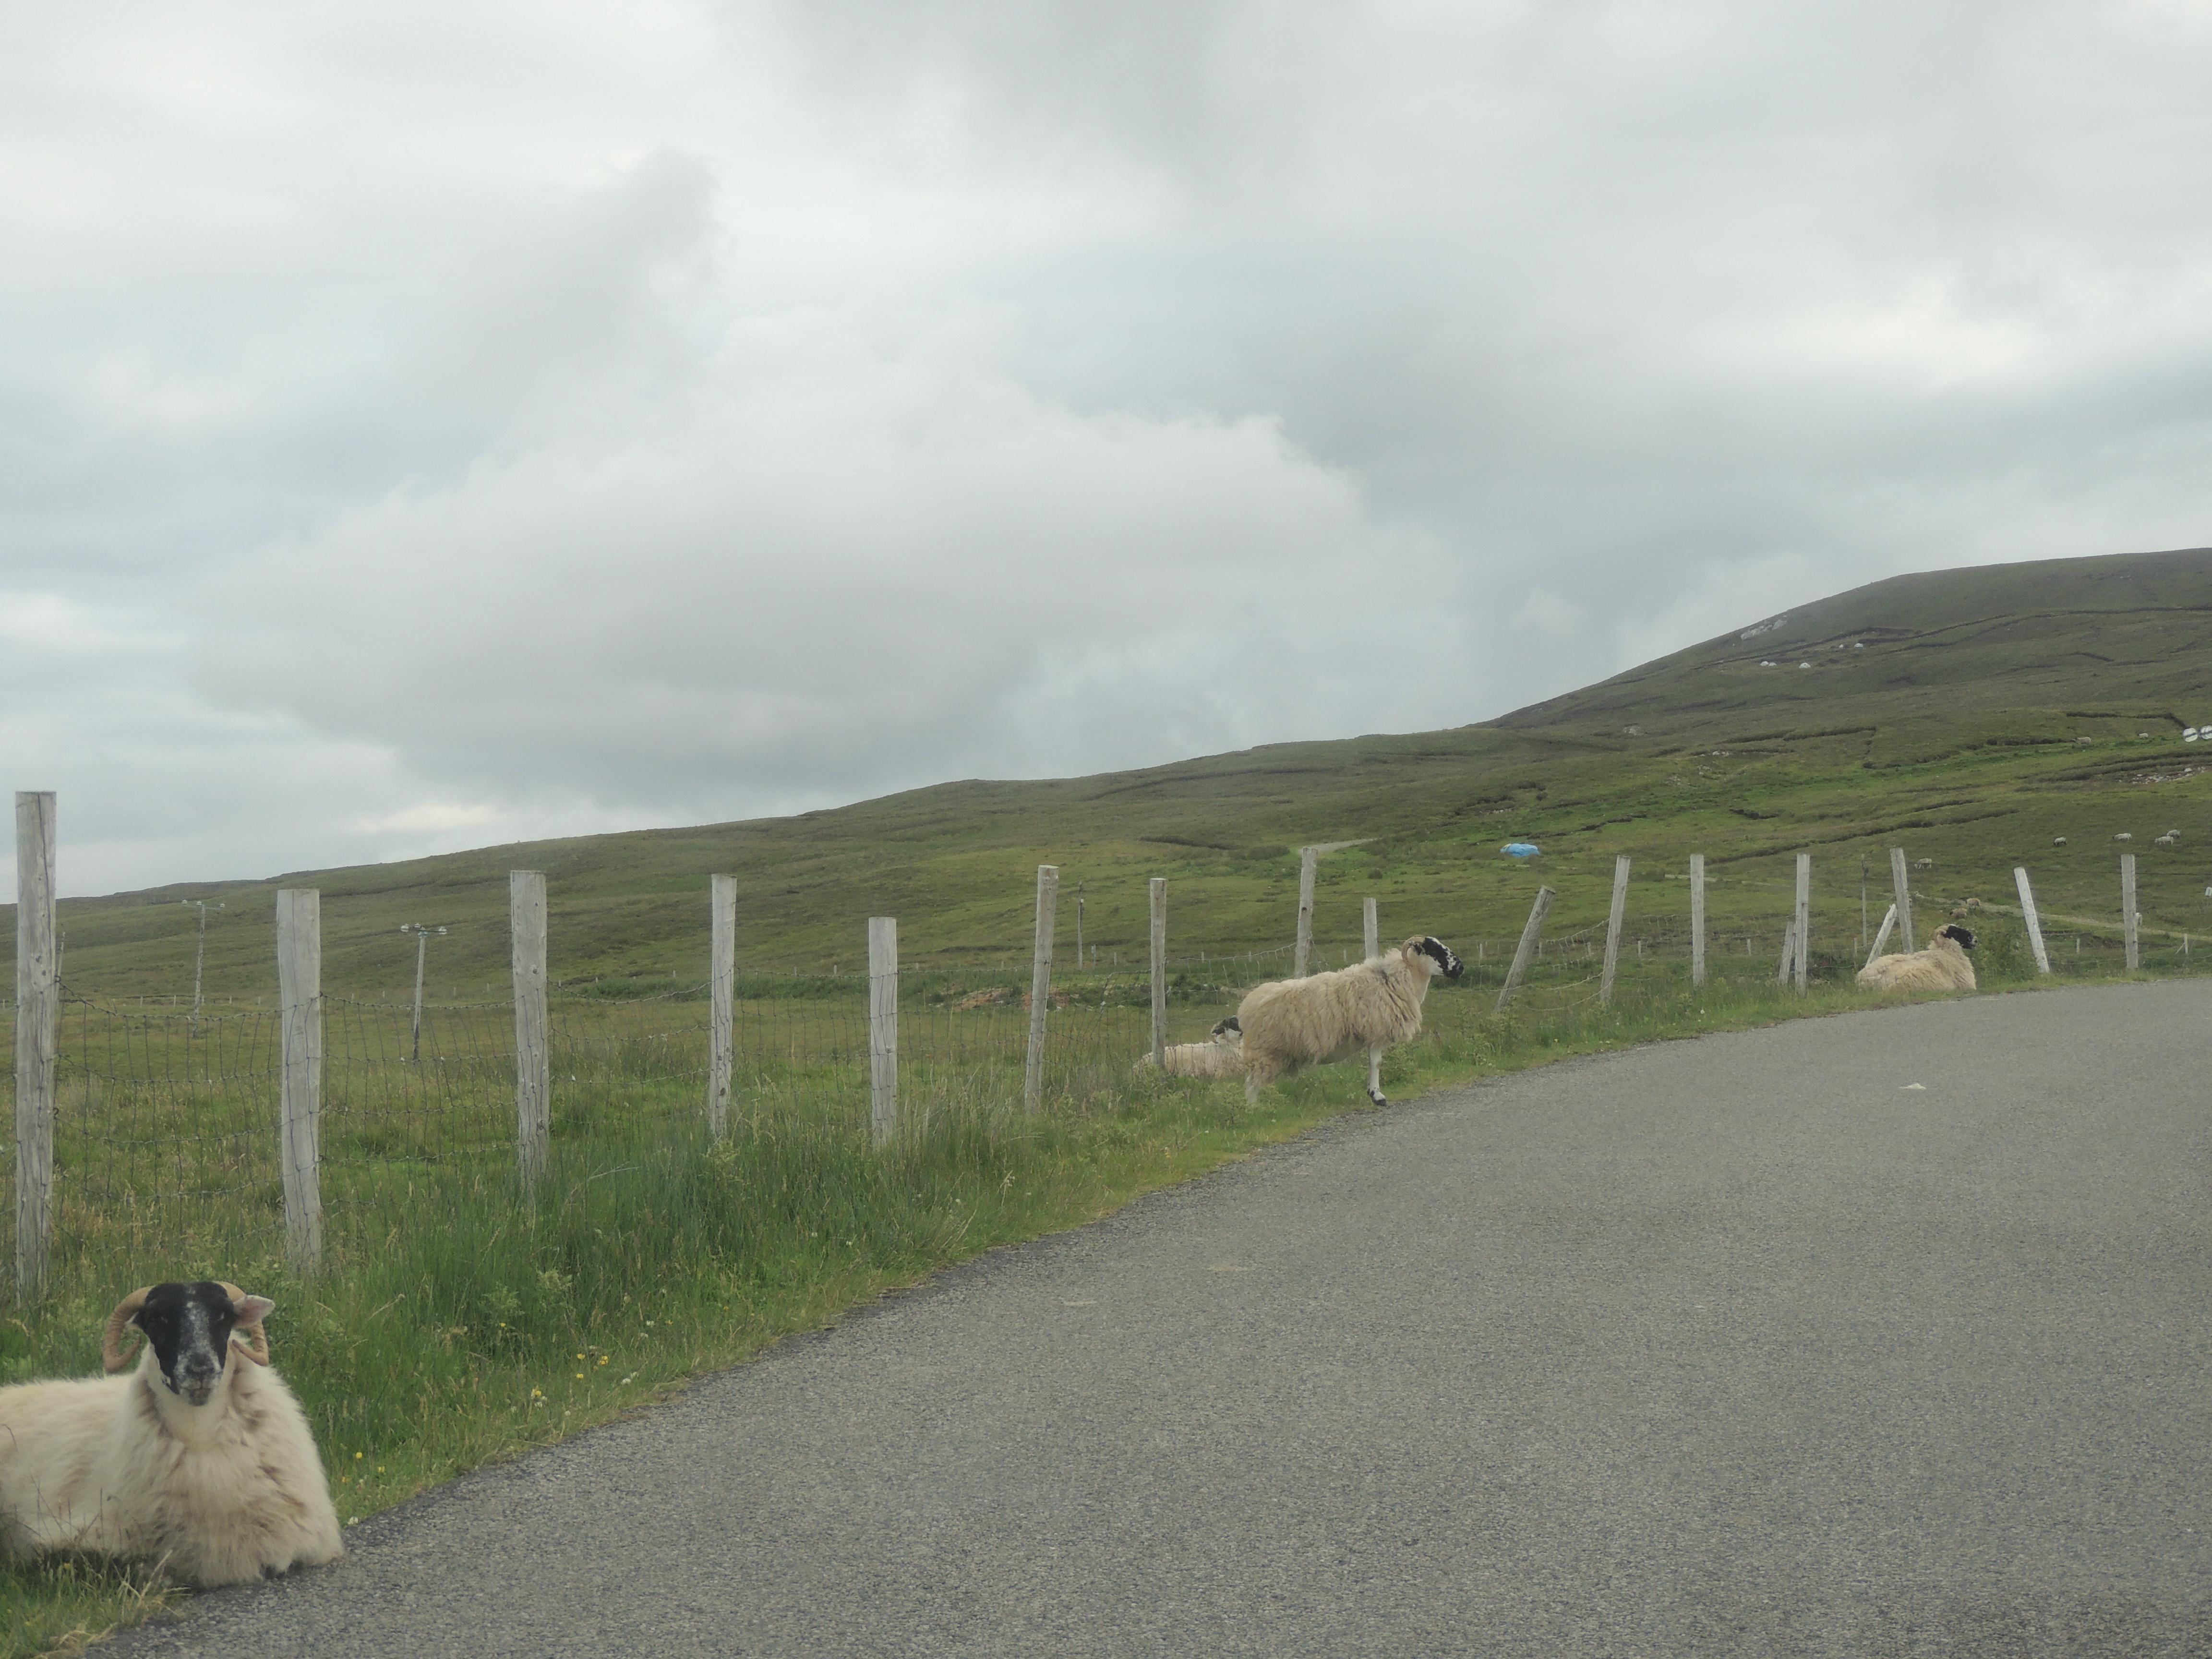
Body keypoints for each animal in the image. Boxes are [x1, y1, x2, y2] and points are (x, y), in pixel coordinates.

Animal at [1236, 935, 1463, 1108]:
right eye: (1434, 950)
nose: (1461, 968)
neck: (1398, 978)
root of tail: (1247, 1007)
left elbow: (1373, 1064)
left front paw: (1372, 1093)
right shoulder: (1376, 1031)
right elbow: (1376, 1063)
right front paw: (1378, 1097)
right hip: (1263, 1051)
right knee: (1252, 1084)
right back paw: (1253, 1111)